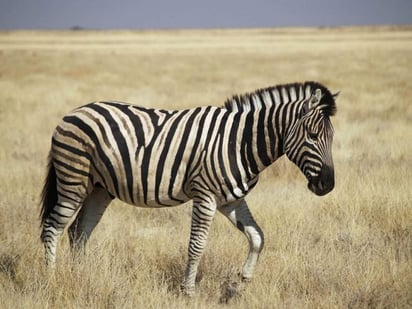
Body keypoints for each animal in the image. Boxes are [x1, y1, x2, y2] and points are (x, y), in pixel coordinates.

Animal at [41, 80, 338, 294]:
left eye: (332, 137)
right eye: (313, 136)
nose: (328, 185)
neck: (240, 143)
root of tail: (74, 112)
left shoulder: (231, 199)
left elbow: (257, 236)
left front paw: (241, 282)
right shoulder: (204, 195)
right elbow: (197, 245)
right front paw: (188, 291)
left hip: (100, 188)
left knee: (79, 232)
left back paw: (80, 275)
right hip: (73, 180)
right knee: (53, 228)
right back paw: (52, 280)